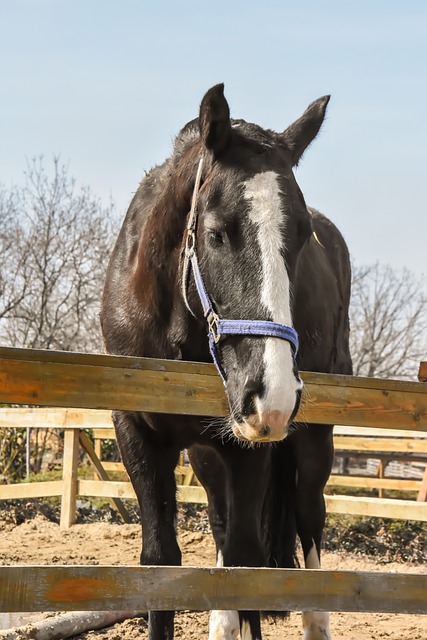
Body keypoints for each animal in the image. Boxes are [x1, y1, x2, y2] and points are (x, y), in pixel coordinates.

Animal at [102, 85, 352, 640]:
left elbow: (246, 563)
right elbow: (162, 561)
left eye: (301, 236)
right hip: (208, 455)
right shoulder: (136, 433)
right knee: (221, 529)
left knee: (309, 524)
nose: (274, 394)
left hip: (311, 444)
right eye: (216, 233)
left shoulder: (249, 447)